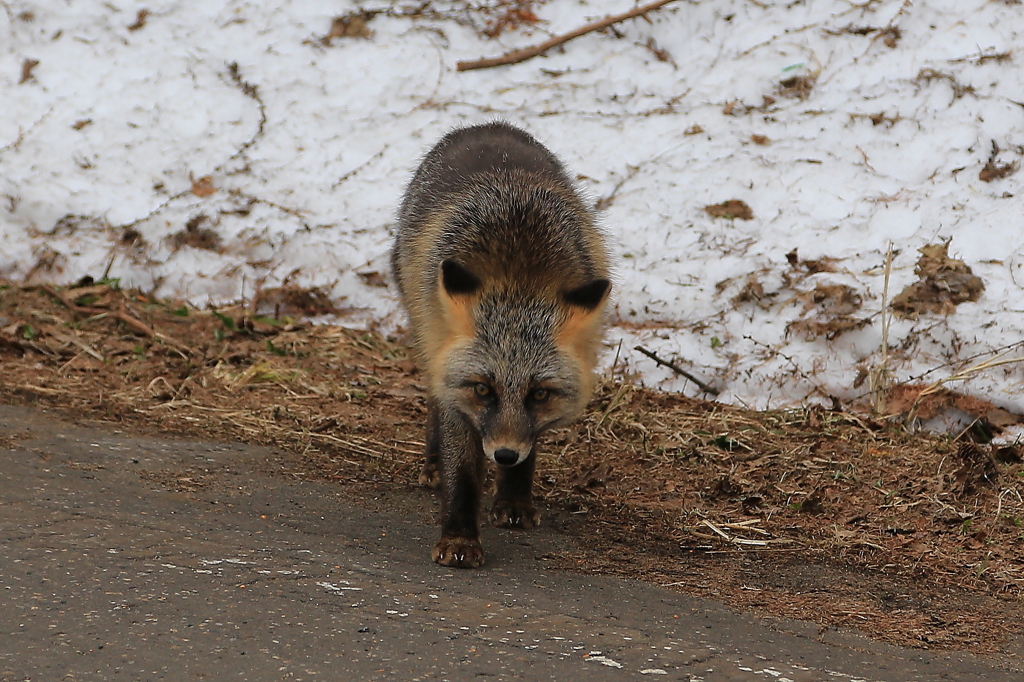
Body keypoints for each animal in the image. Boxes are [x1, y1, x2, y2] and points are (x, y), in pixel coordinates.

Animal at [393, 119, 610, 565]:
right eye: (482, 390)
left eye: (539, 394)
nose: (505, 454)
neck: (519, 276)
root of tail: (488, 125)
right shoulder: (457, 390)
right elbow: (462, 472)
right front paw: (460, 537)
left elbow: (530, 446)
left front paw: (513, 499)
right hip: (426, 331)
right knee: (434, 397)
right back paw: (434, 462)